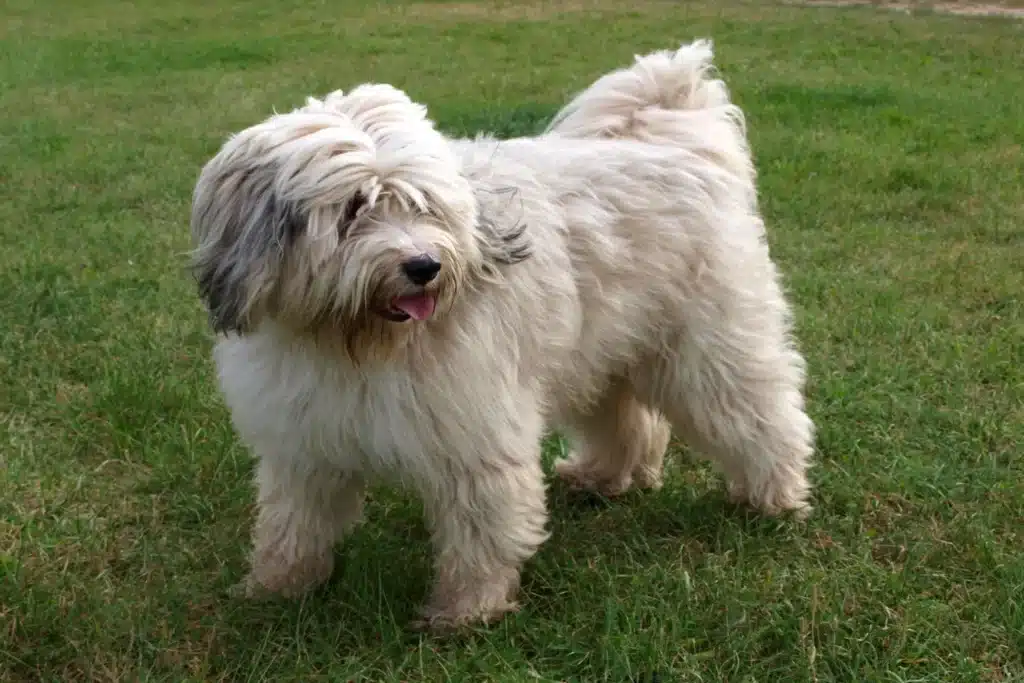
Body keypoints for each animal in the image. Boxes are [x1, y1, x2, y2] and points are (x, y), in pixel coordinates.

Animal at [190, 40, 815, 630]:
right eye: (352, 209)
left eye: (423, 205)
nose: (424, 267)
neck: (353, 340)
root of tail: (679, 147)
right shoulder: (305, 438)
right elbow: (294, 521)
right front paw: (275, 588)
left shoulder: (473, 432)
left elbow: (480, 527)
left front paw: (465, 611)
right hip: (597, 352)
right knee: (628, 420)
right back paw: (602, 478)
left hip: (709, 350)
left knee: (762, 416)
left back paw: (774, 498)